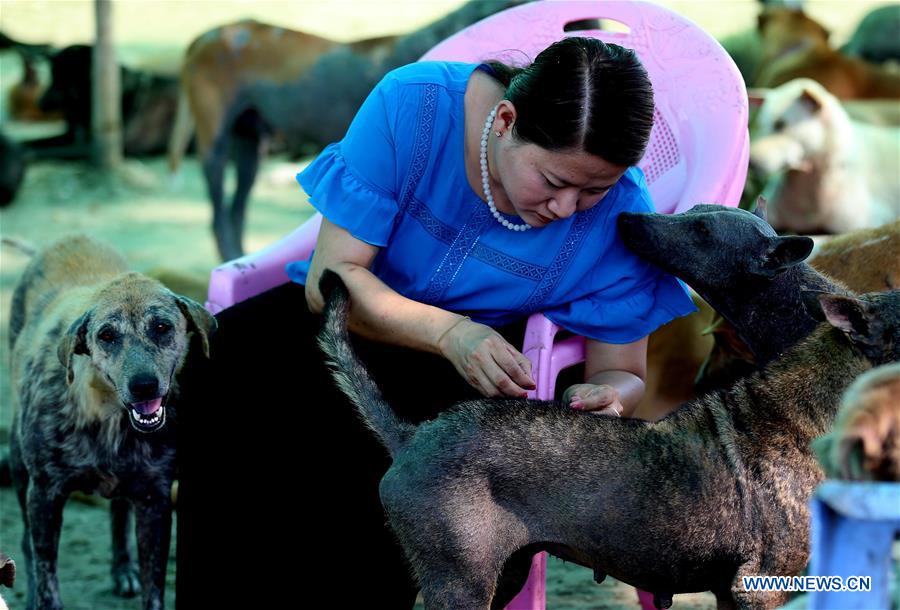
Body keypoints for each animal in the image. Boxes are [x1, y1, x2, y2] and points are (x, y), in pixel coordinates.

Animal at [8, 233, 214, 608]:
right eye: (106, 335)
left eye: (161, 327)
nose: (144, 385)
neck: (106, 416)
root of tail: (68, 238)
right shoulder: (44, 494)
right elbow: (45, 572)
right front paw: (39, 596)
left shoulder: (155, 500)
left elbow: (154, 587)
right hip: (18, 467)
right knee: (27, 544)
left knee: (119, 511)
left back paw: (123, 568)